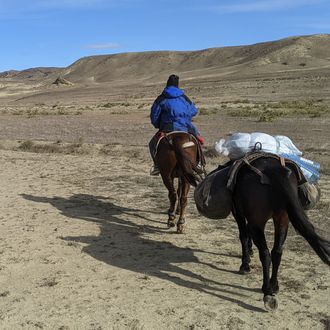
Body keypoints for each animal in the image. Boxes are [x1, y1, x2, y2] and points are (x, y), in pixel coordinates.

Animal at [232, 156, 330, 310]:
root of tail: (273, 169)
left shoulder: (238, 213)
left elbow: (243, 236)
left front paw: (245, 264)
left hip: (258, 222)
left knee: (265, 253)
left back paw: (267, 291)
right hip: (283, 218)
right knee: (277, 251)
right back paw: (274, 286)